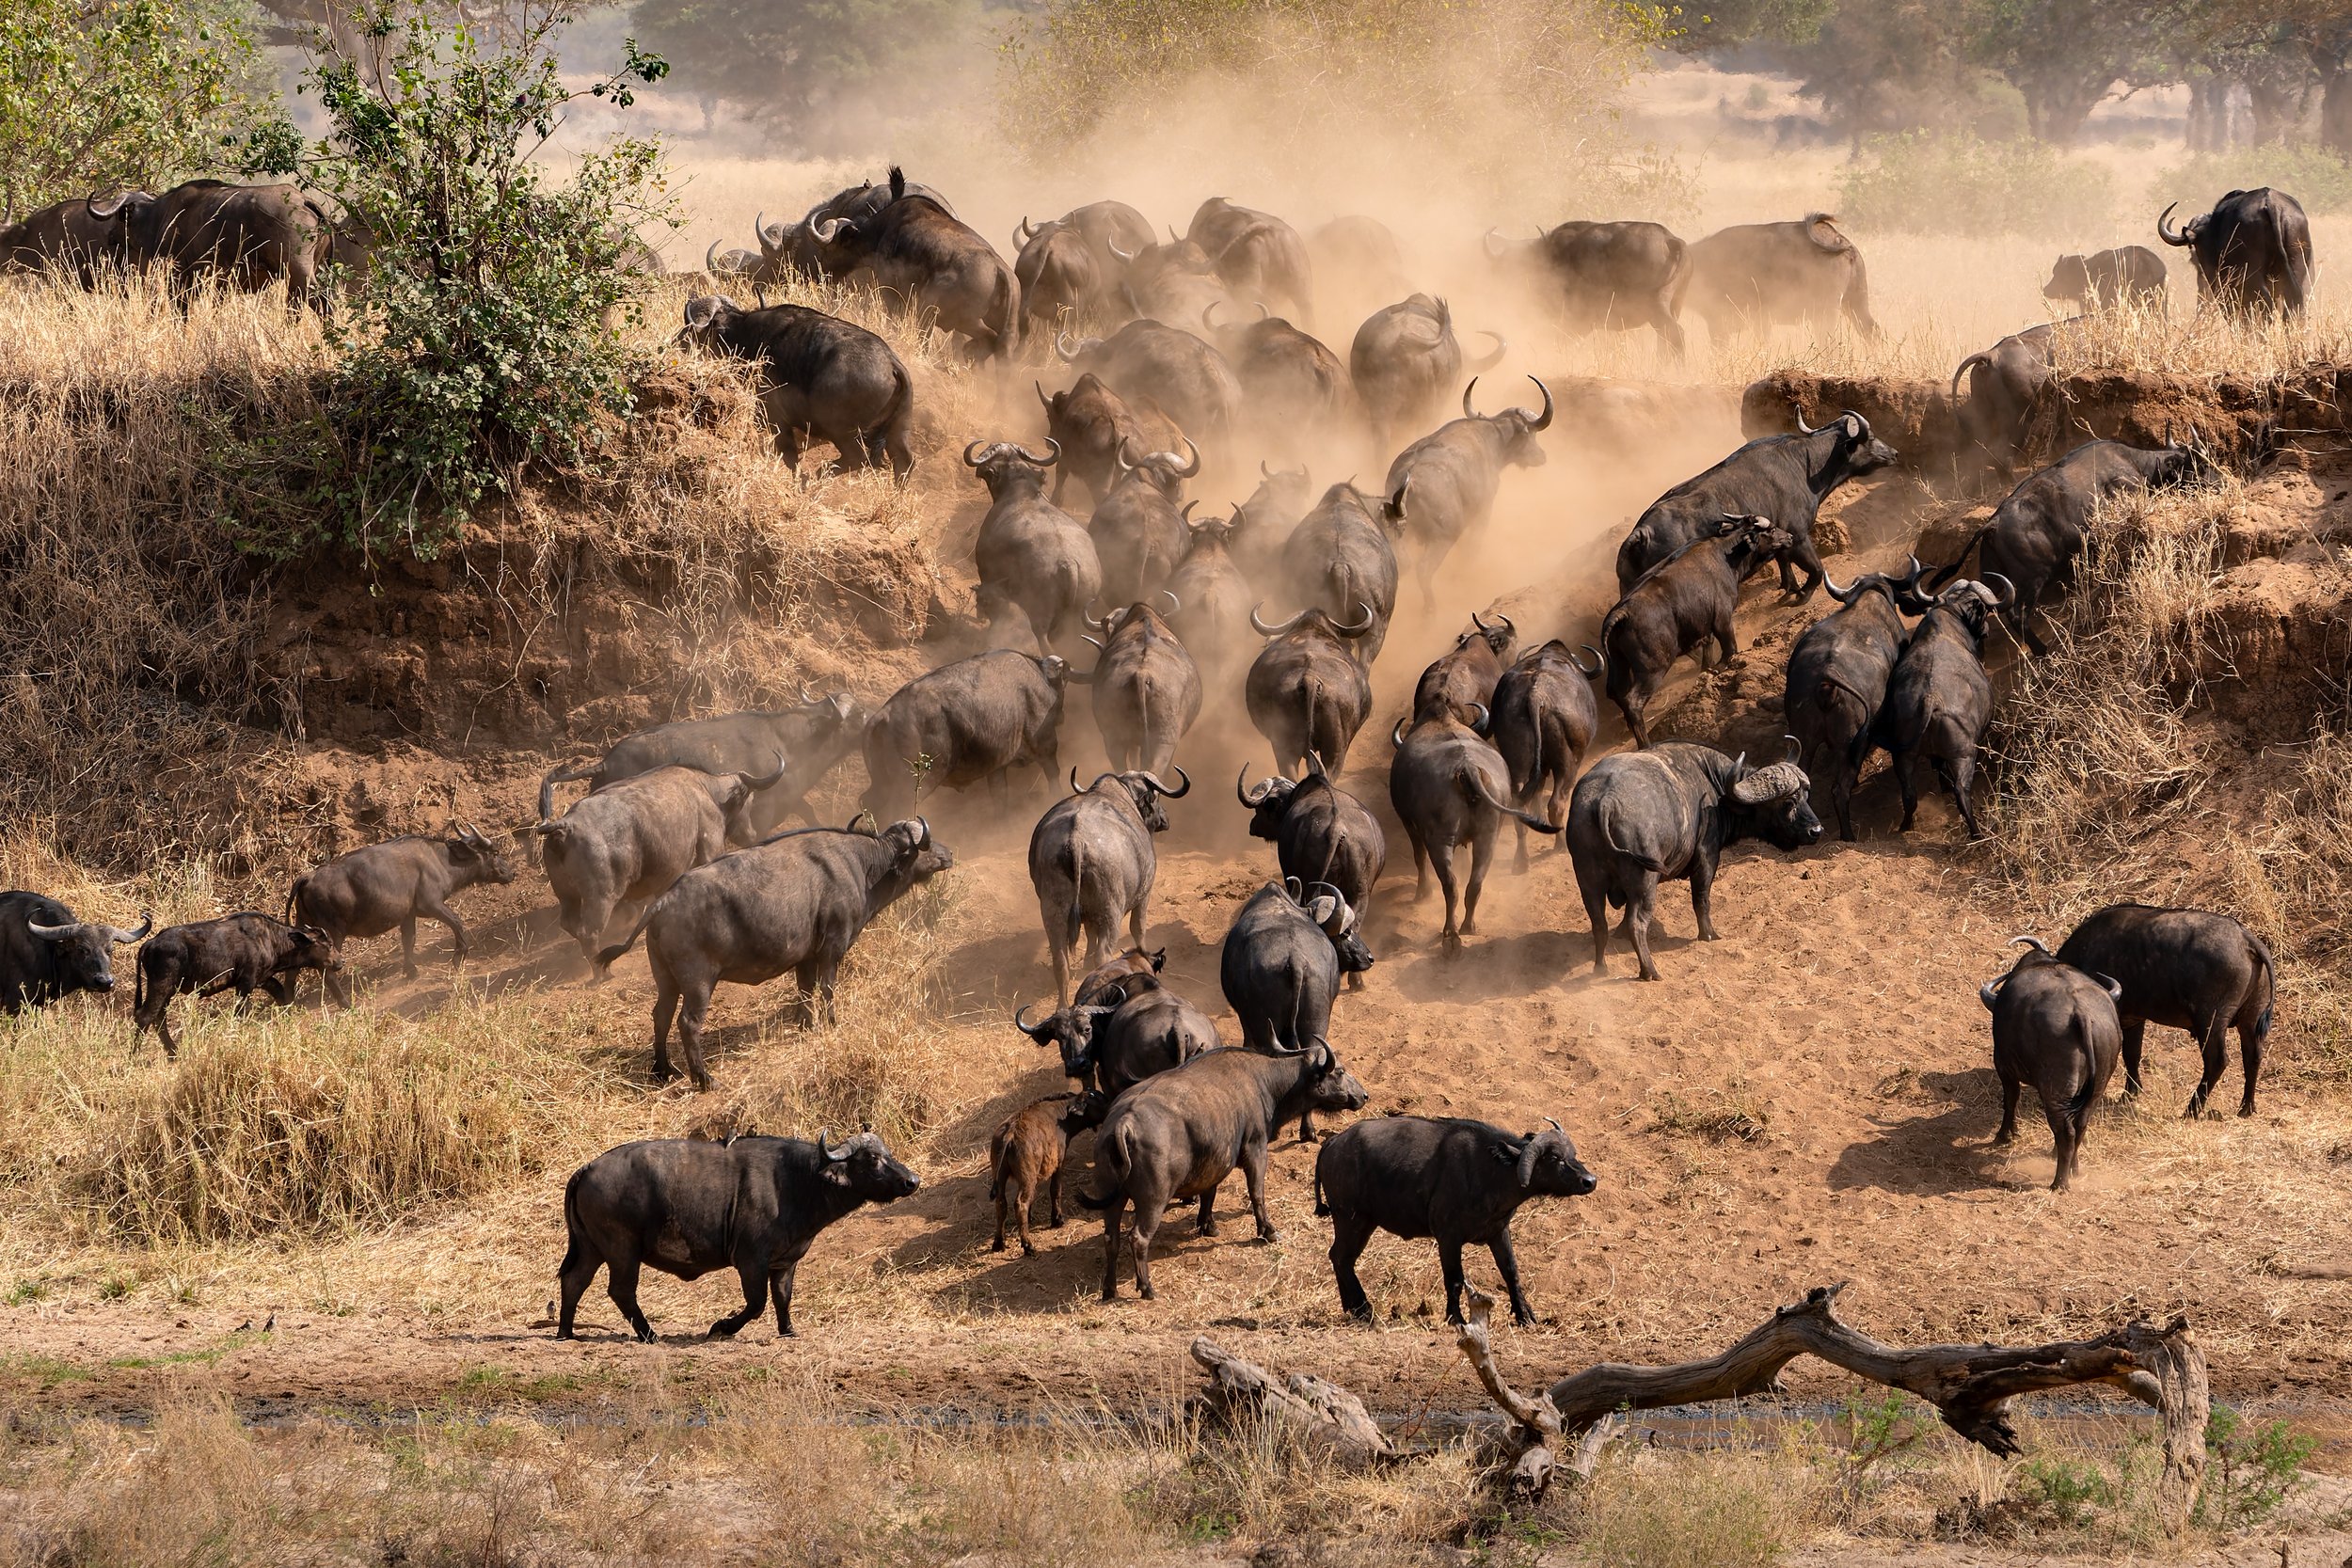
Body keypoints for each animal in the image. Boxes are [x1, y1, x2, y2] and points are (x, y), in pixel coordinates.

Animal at [557, 1129, 921, 1340]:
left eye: (889, 1154)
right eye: (872, 1159)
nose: (912, 1180)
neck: (799, 1181)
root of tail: (588, 1168)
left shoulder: (785, 1263)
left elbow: (783, 1298)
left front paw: (788, 1331)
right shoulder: (751, 1261)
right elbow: (757, 1303)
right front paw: (722, 1327)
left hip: (591, 1249)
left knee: (574, 1281)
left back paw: (565, 1332)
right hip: (622, 1251)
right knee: (621, 1291)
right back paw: (650, 1335)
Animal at [1315, 1115, 1597, 1325]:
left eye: (1572, 1154)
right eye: (1554, 1158)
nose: (1590, 1181)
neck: (1490, 1171)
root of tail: (1334, 1141)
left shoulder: (1498, 1231)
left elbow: (1511, 1272)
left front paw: (1525, 1315)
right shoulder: (1448, 1237)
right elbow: (1455, 1278)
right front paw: (1456, 1317)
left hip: (1362, 1222)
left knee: (1342, 1259)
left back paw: (1353, 1308)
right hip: (1351, 1219)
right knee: (1340, 1257)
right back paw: (1363, 1310)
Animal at [1567, 741, 1822, 980]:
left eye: (1806, 796)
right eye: (1788, 802)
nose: (1816, 830)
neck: (1716, 791)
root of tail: (1605, 801)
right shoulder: (1707, 857)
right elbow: (1701, 900)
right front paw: (1709, 934)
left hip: (1587, 881)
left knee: (1599, 925)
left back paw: (1601, 968)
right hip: (1643, 881)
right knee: (1636, 923)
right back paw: (1650, 971)